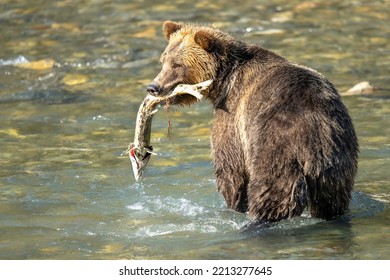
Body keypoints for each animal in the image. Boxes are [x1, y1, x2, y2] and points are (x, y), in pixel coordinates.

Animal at [147, 20, 360, 223]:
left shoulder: (232, 115)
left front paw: (233, 204)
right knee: (332, 201)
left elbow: (230, 167)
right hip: (336, 158)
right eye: (163, 61)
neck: (224, 82)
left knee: (271, 190)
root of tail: (313, 126)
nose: (153, 87)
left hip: (275, 146)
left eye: (177, 64)